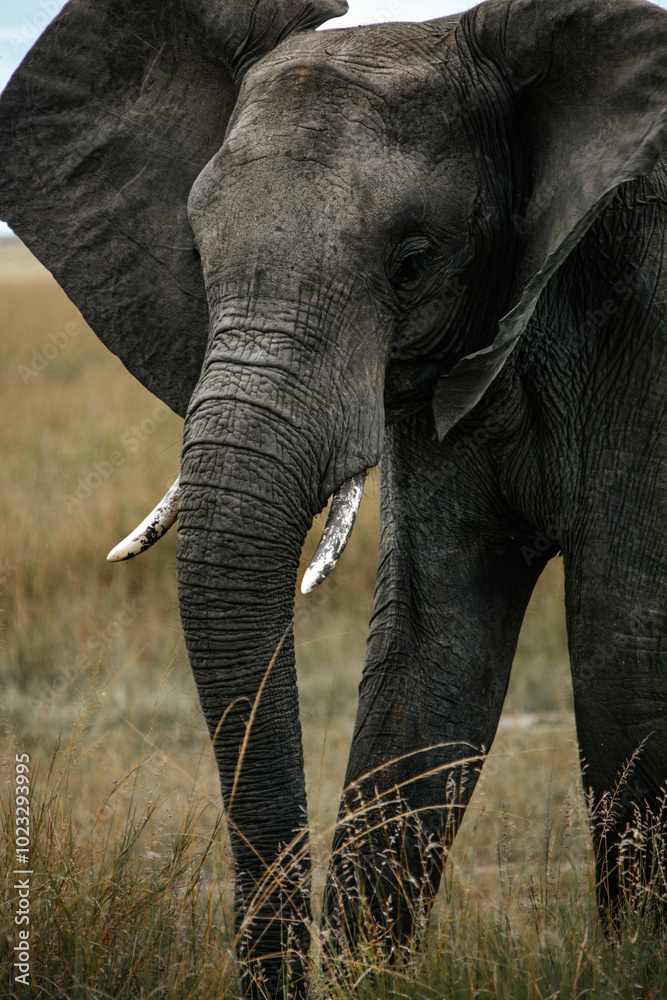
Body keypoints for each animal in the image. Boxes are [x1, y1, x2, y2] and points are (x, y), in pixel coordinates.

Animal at [2, 0, 667, 995]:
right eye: (196, 254)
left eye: (412, 263)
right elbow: (424, 658)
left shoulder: (649, 323)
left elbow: (622, 653)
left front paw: (635, 961)